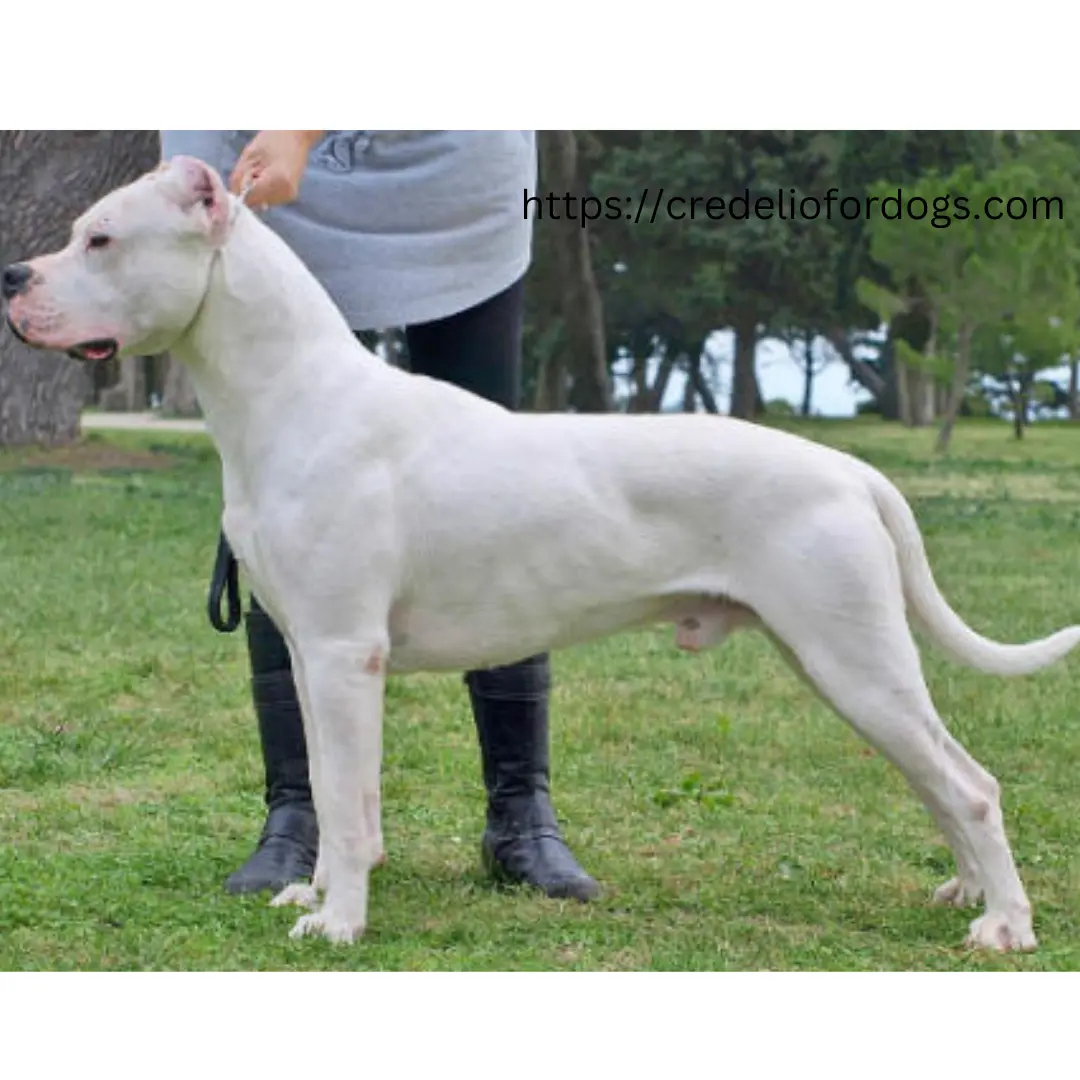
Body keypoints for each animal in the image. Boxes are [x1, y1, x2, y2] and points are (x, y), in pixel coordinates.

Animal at [4, 156, 1075, 950]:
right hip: (838, 662)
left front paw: (340, 924)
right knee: (937, 781)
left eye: (100, 238)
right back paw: (966, 895)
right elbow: (338, 791)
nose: (15, 277)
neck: (291, 393)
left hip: (853, 658)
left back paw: (1005, 925)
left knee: (970, 786)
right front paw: (315, 895)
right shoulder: (310, 655)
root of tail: (851, 470)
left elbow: (347, 804)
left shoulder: (348, 656)